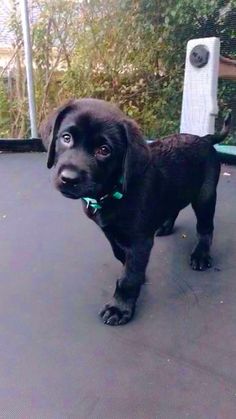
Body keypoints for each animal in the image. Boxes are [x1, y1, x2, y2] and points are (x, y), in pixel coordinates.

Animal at [41, 99, 230, 328]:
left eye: (104, 150)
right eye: (66, 138)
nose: (69, 178)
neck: (114, 190)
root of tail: (204, 138)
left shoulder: (140, 241)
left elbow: (129, 276)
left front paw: (119, 307)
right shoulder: (109, 231)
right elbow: (121, 256)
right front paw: (137, 275)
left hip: (205, 196)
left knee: (205, 228)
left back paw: (201, 254)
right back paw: (165, 226)